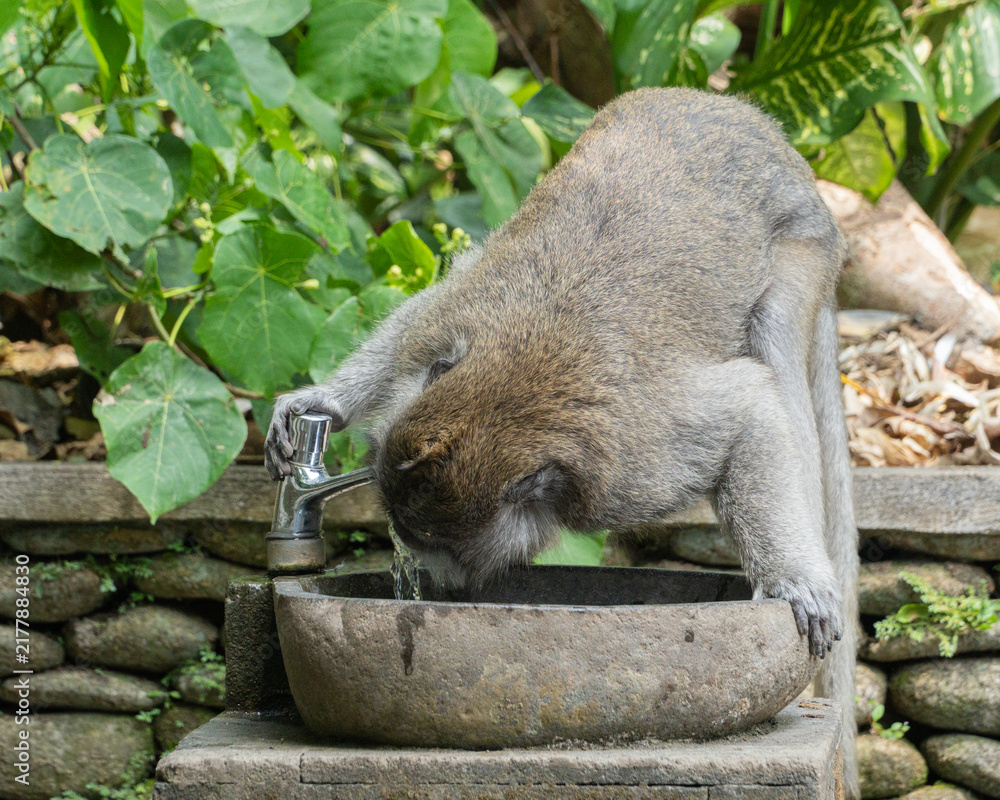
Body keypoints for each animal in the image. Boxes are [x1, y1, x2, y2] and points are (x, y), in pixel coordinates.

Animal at [265, 88, 860, 799]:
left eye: (438, 545)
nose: (433, 581)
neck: (512, 396)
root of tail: (754, 122)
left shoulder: (634, 466)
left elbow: (751, 409)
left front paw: (794, 580)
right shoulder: (451, 324)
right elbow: (422, 311)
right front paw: (323, 402)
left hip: (804, 245)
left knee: (776, 344)